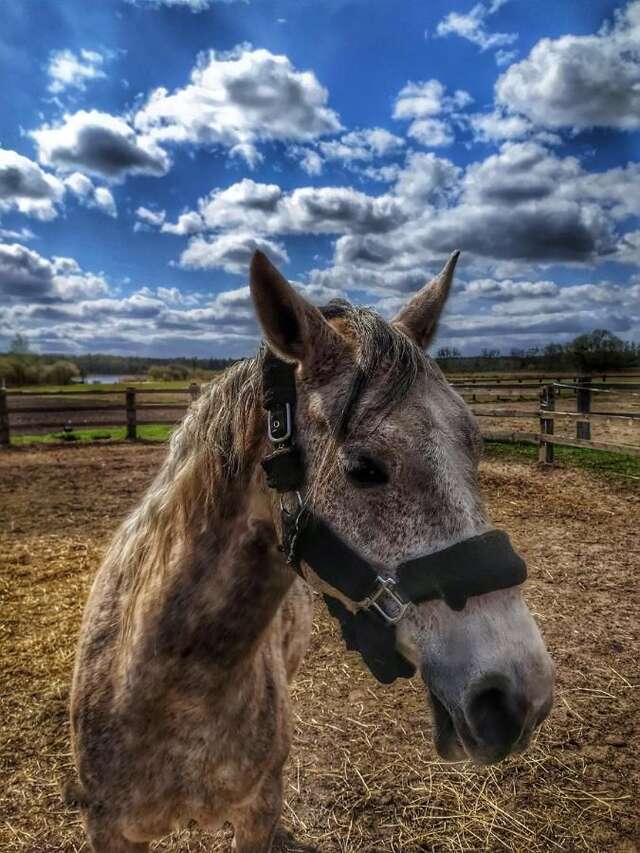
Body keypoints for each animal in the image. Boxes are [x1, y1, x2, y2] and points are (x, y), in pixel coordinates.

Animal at [67, 250, 552, 848]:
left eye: (476, 447)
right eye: (363, 468)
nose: (521, 697)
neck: (168, 690)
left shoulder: (257, 810)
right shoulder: (108, 829)